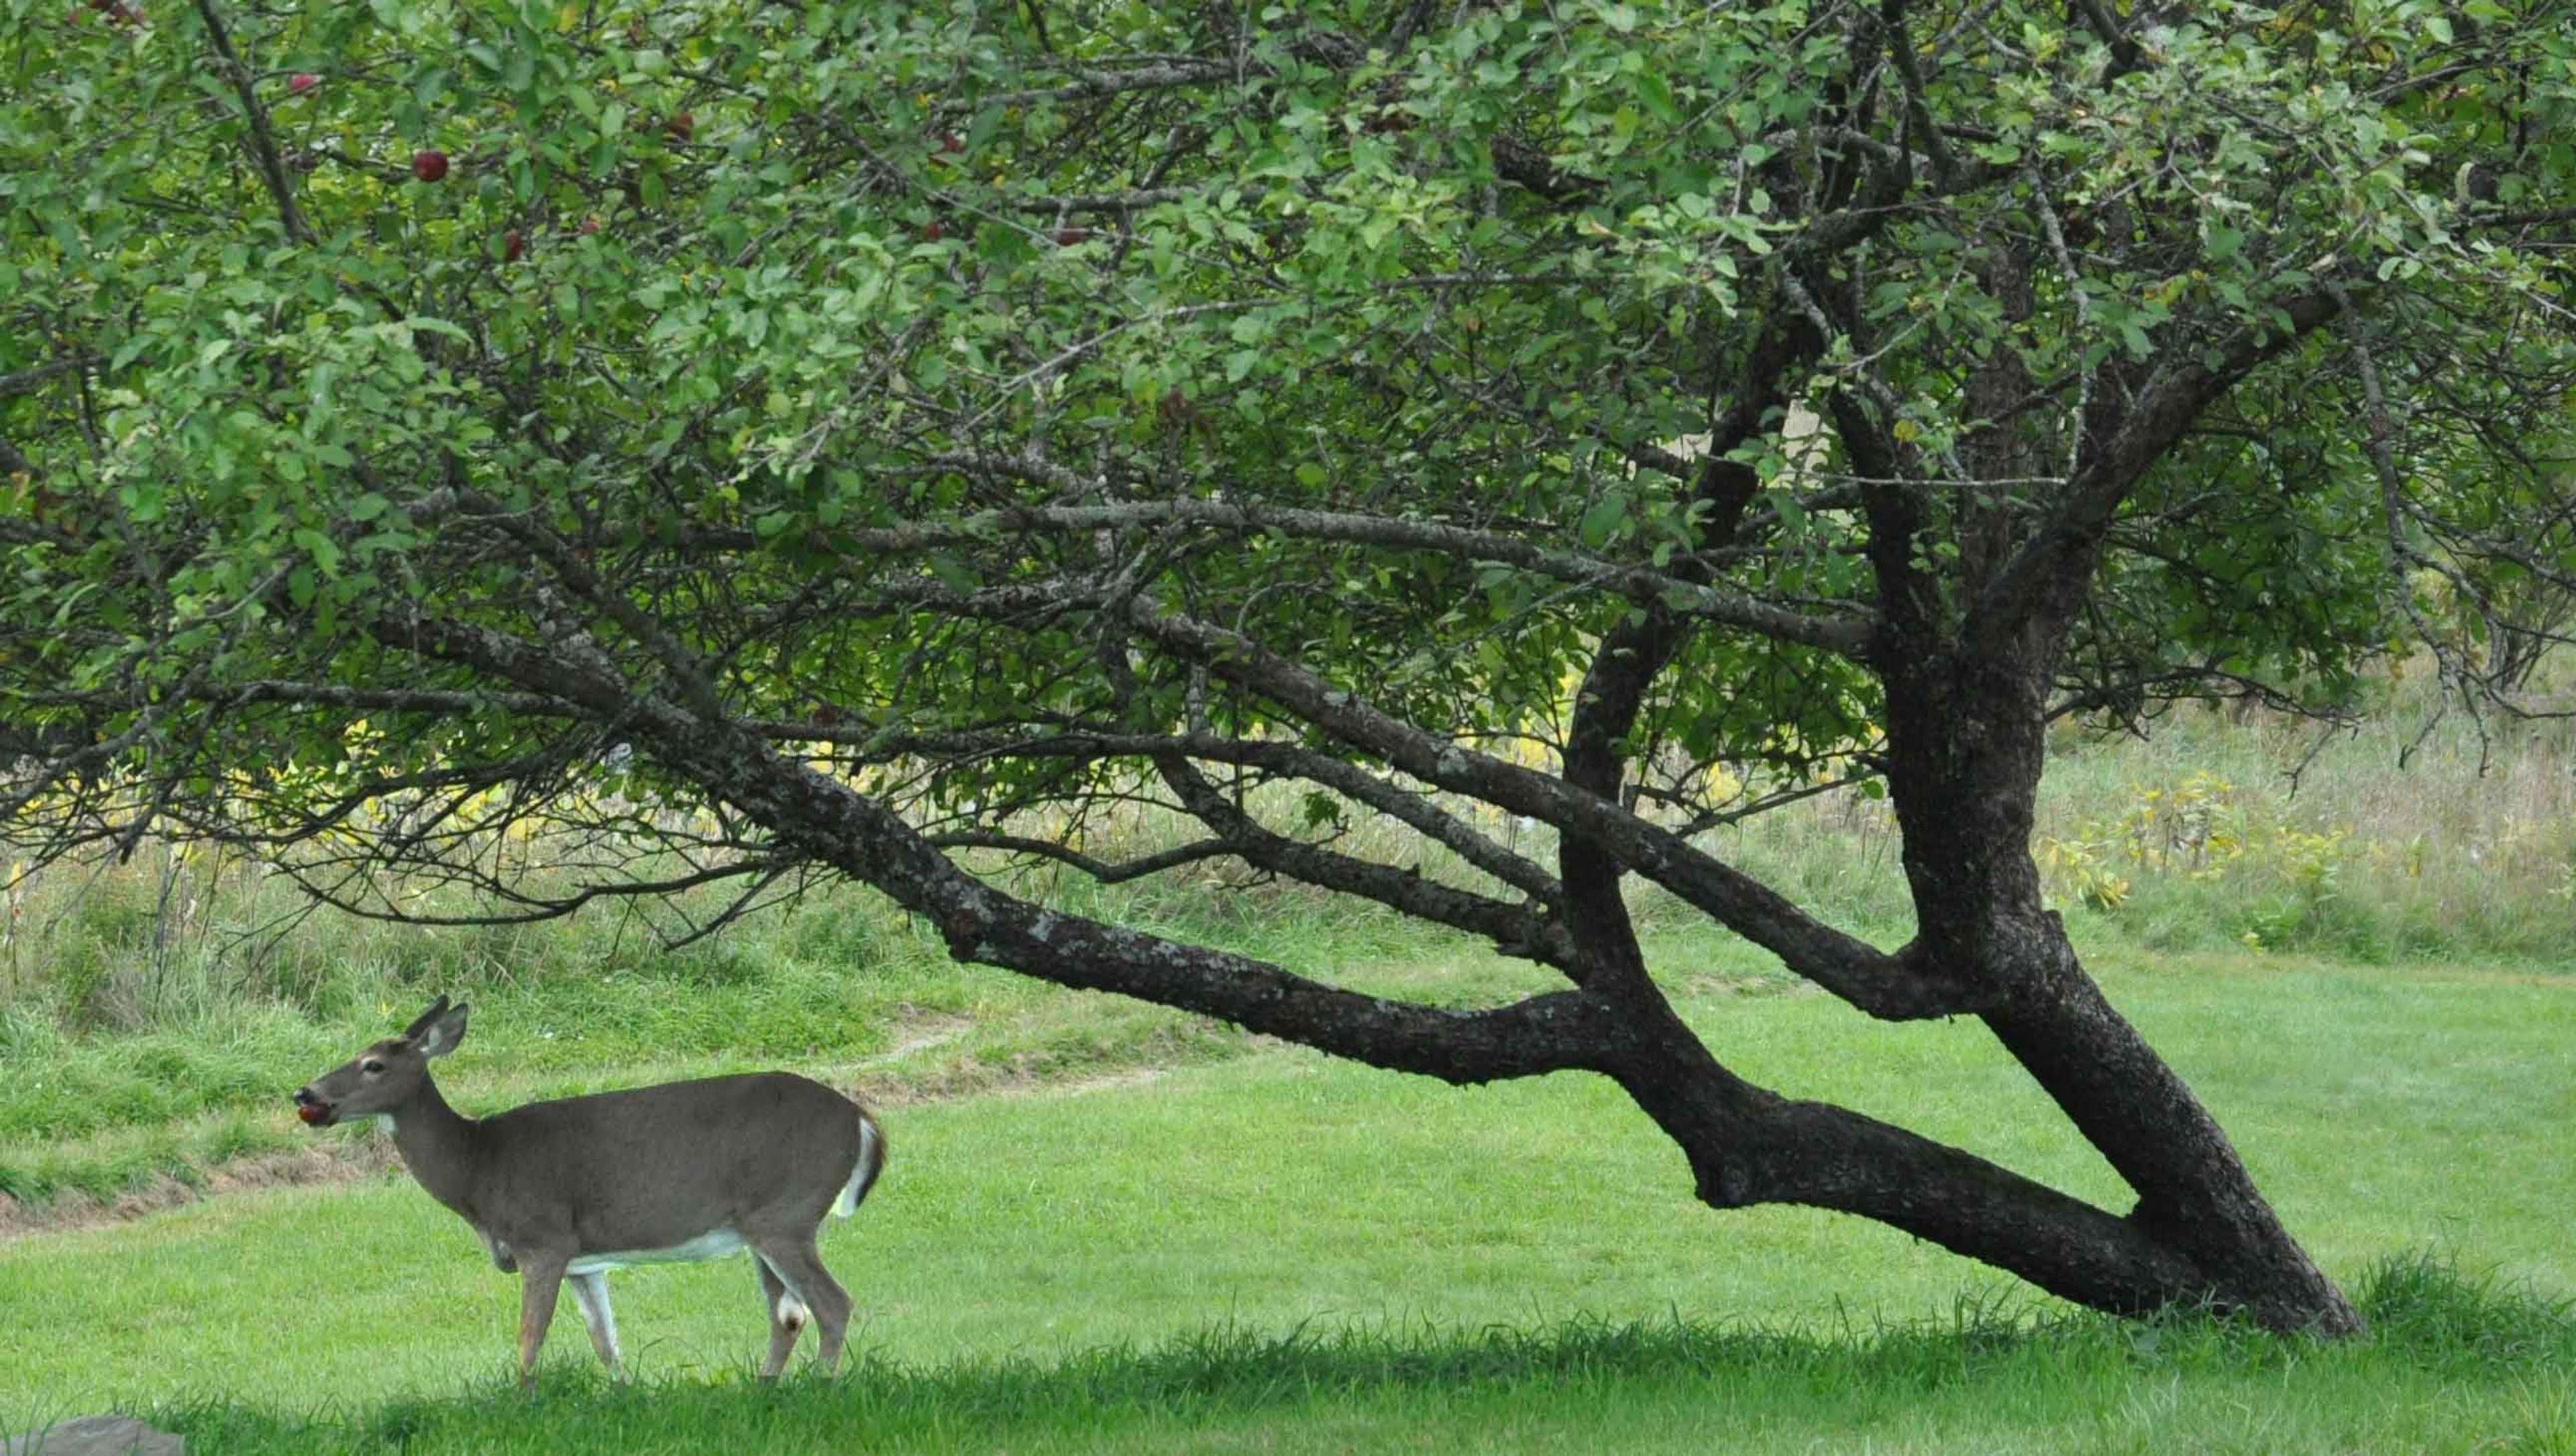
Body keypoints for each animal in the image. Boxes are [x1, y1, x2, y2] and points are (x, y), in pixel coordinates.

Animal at [294, 995, 885, 1381]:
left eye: (373, 1064)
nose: (306, 1093)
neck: (480, 1167)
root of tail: (863, 1120)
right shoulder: (585, 1260)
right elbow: (606, 1343)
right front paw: (623, 1394)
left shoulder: (544, 1238)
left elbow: (529, 1339)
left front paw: (523, 1401)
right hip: (762, 1224)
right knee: (789, 1315)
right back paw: (767, 1387)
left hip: (787, 1213)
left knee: (833, 1304)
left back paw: (821, 1383)